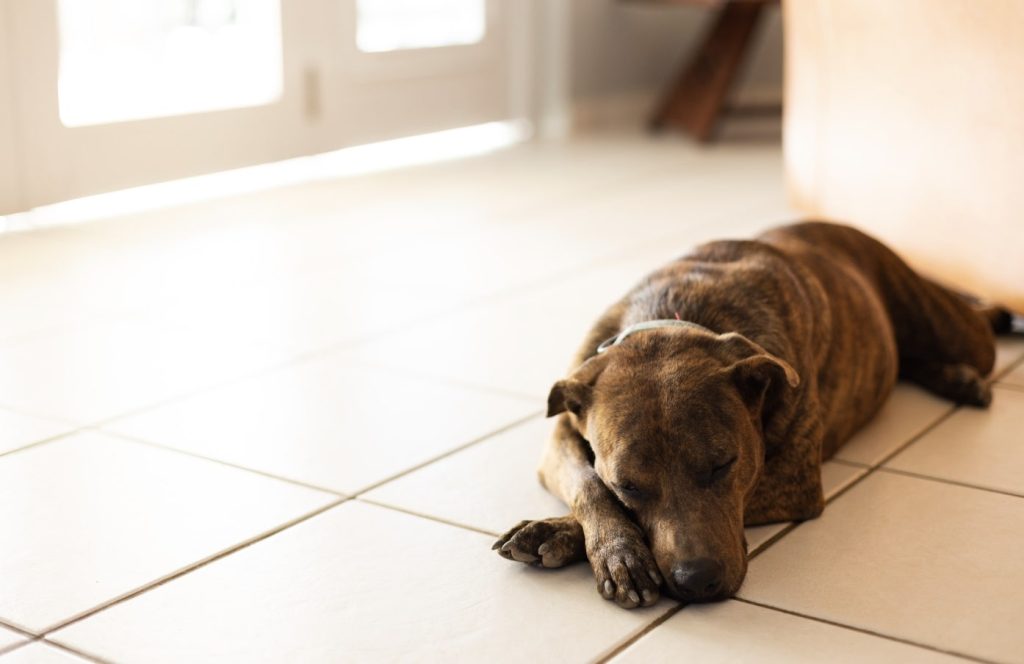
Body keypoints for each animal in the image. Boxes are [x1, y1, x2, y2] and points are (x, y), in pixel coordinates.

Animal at [491, 224, 1011, 610]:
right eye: (629, 485)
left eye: (724, 465)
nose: (696, 580)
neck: (676, 314)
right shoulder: (563, 429)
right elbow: (589, 484)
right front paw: (599, 543)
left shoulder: (792, 481)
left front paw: (563, 532)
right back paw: (954, 378)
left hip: (952, 327)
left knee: (981, 322)